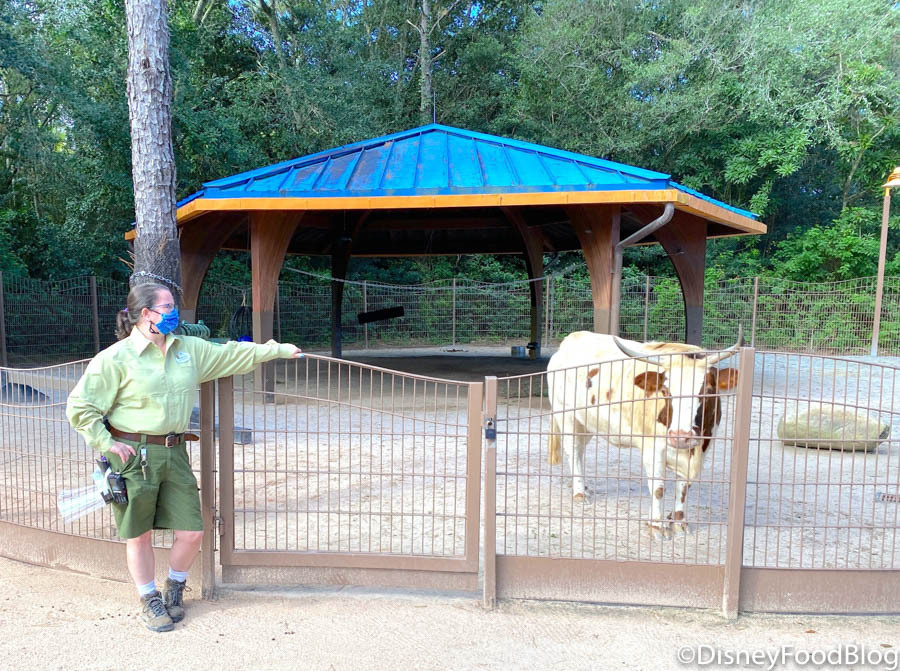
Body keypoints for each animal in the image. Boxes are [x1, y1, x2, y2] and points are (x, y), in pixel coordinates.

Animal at [544, 332, 740, 540]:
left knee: (580, 451)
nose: (680, 436)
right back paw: (579, 493)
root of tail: (570, 340)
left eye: (708, 391)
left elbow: (683, 488)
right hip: (566, 416)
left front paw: (679, 522)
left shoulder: (703, 448)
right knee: (573, 450)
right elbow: (658, 489)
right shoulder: (653, 450)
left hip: (586, 424)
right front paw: (657, 526)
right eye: (665, 391)